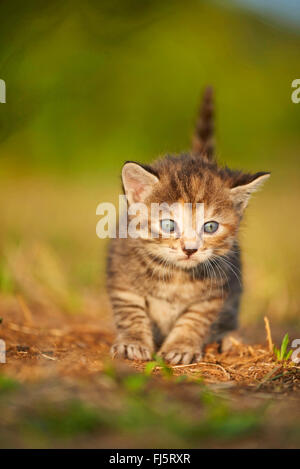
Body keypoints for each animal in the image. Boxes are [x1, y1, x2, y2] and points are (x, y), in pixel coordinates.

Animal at [106, 88, 270, 366]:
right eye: (169, 224)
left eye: (211, 227)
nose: (190, 249)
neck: (176, 276)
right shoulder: (123, 281)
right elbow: (131, 312)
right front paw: (133, 342)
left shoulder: (216, 294)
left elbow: (194, 320)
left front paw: (181, 347)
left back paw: (229, 339)